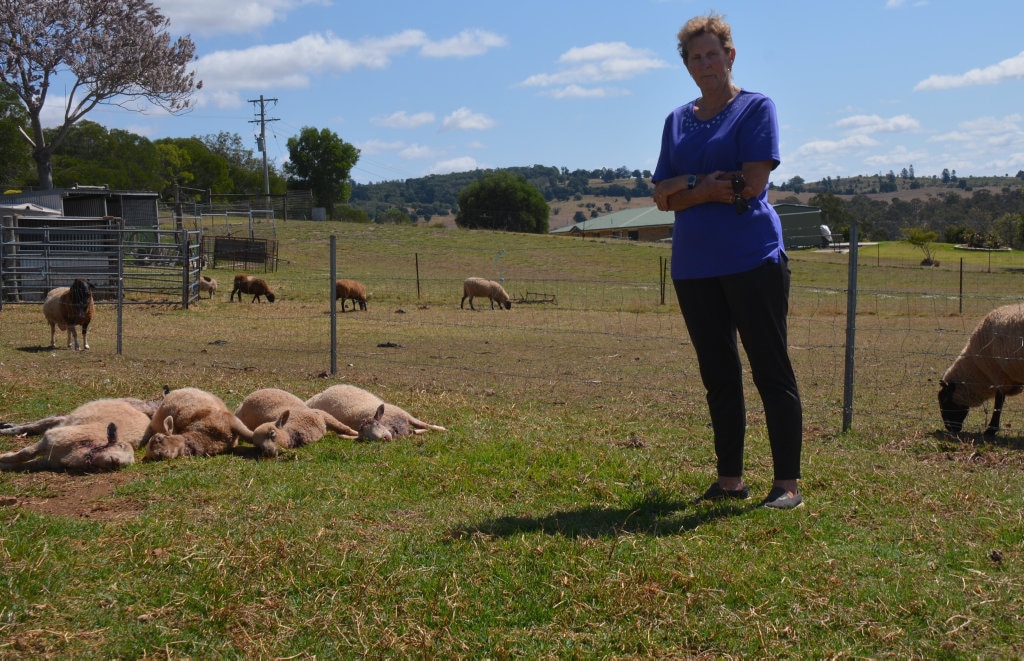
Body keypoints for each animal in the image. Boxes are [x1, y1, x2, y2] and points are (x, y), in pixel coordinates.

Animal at [234, 386, 362, 458]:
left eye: (272, 433)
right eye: (257, 446)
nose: (267, 452)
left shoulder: (321, 415)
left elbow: (342, 427)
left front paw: (355, 433)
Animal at [303, 386, 448, 442]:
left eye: (377, 424)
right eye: (368, 439)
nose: (385, 438)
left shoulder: (405, 415)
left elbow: (424, 424)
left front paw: (442, 429)